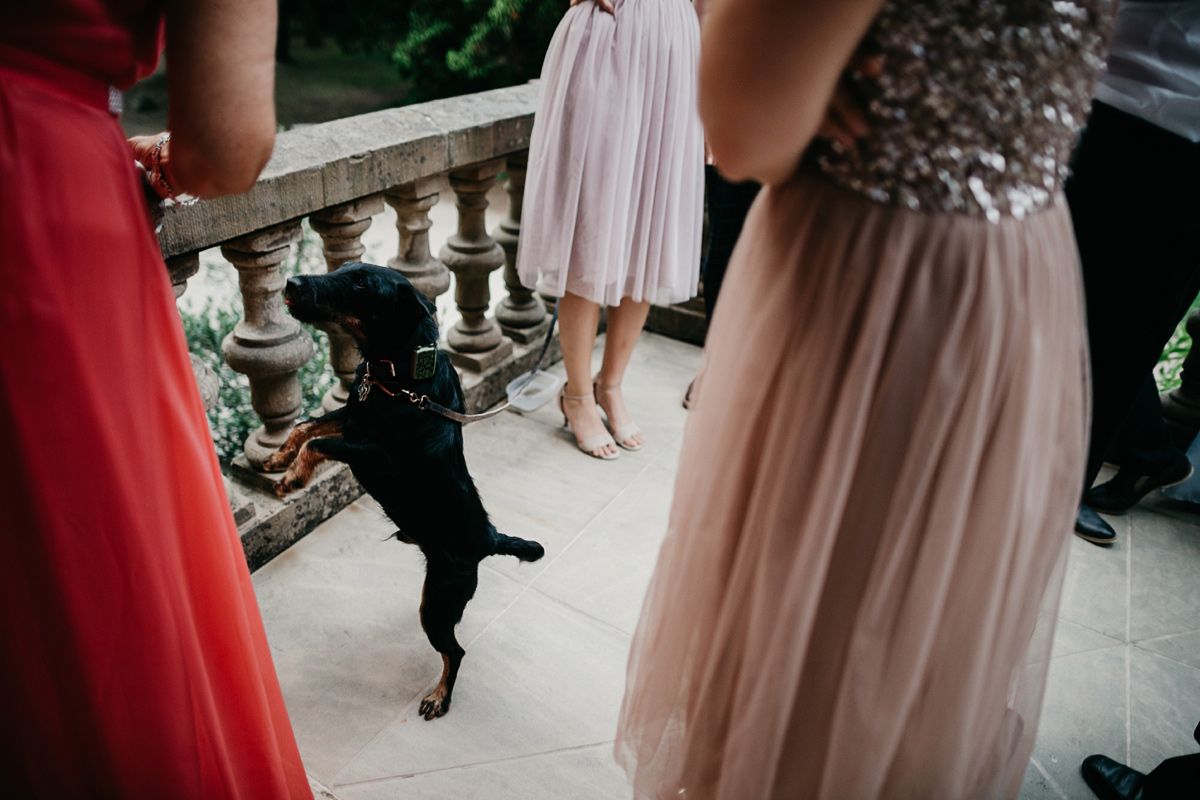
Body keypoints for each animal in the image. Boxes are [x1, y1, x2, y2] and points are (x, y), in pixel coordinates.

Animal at [265, 261, 547, 719]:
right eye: (345, 267)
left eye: (360, 282)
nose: (291, 283)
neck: (396, 375)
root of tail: (490, 538)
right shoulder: (353, 416)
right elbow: (306, 426)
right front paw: (277, 459)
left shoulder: (374, 454)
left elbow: (318, 442)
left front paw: (294, 477)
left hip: (439, 603)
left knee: (455, 651)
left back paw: (439, 697)